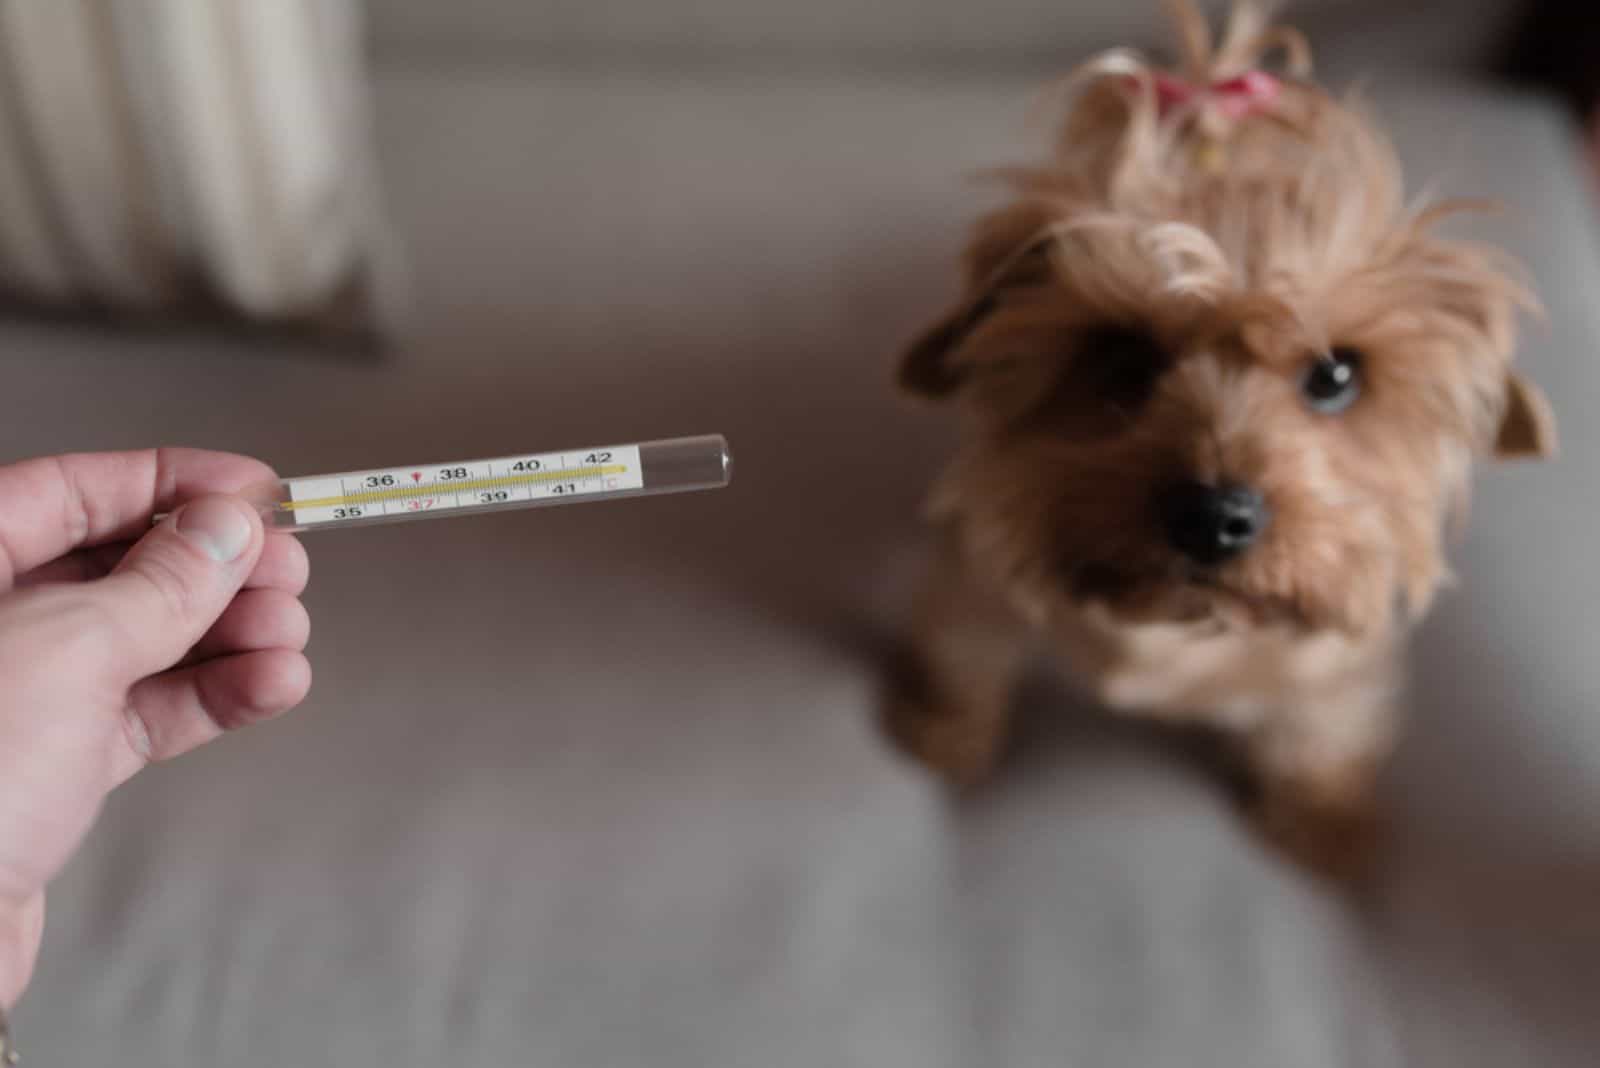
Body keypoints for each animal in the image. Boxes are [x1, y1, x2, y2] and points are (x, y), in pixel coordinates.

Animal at [889, 0, 1548, 869]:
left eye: (1336, 374)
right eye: (1121, 353)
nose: (1211, 517)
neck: (1181, 628)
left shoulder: (1340, 658)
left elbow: (1324, 737)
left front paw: (1328, 831)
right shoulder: (980, 570)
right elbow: (963, 650)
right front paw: (941, 729)